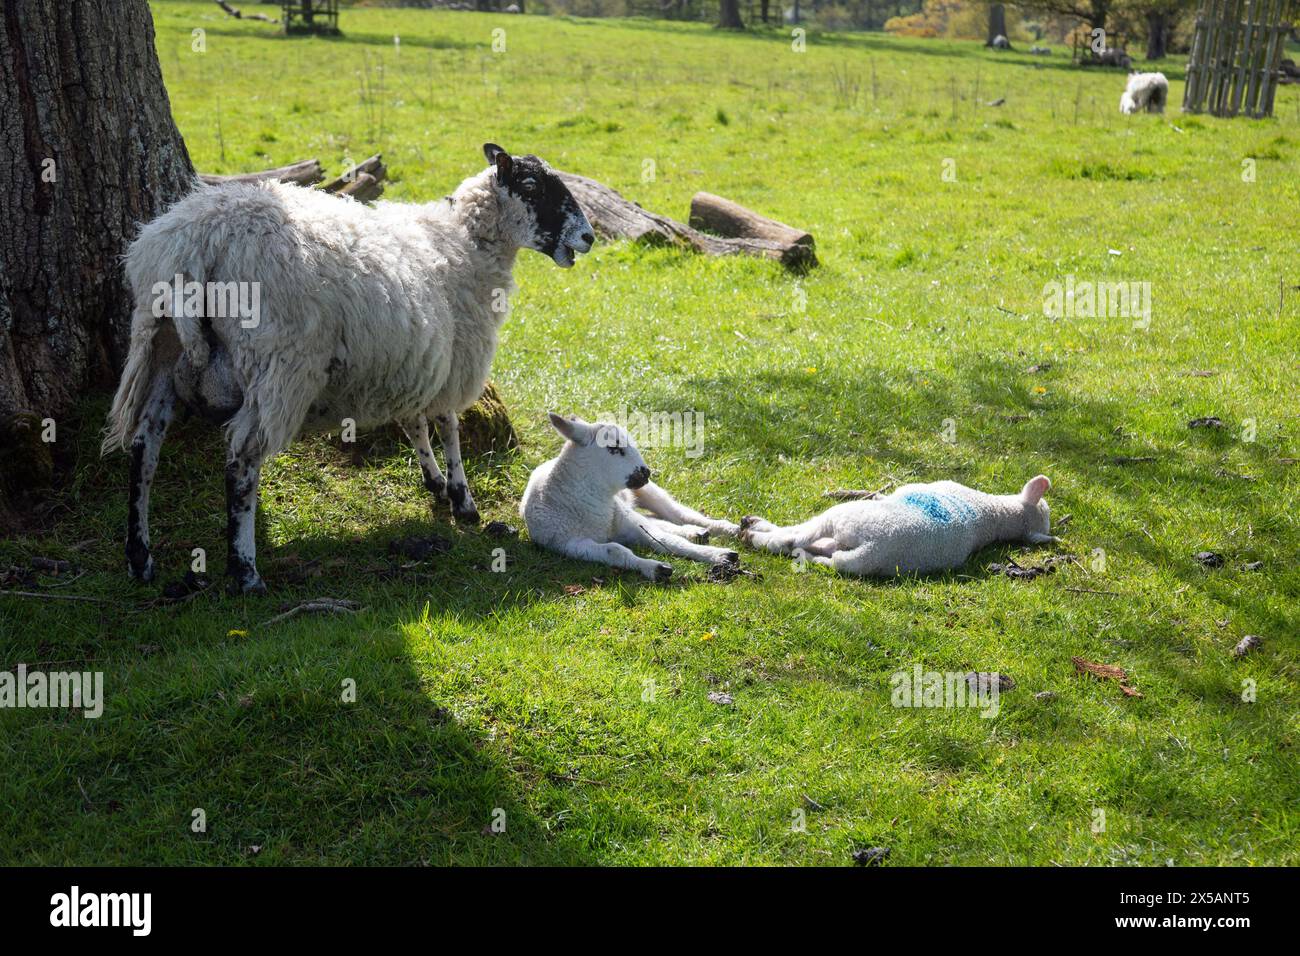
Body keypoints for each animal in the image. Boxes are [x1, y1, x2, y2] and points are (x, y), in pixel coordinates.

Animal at [106, 143, 595, 595]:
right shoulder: (454, 360)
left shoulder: (416, 359)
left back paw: (139, 556)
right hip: (279, 365)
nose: (589, 237)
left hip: (156, 350)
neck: (463, 244)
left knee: (144, 447)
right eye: (531, 185)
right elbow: (448, 427)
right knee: (241, 462)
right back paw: (245, 572)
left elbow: (415, 423)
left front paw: (434, 482)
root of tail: (194, 242)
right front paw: (462, 500)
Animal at [520, 413, 743, 582]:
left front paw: (719, 555)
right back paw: (696, 533)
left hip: (646, 494)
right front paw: (655, 568)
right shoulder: (569, 545)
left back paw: (726, 529)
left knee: (678, 515)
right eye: (614, 448)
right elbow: (616, 550)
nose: (646, 472)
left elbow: (665, 540)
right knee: (659, 520)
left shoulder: (627, 520)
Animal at [743, 476, 1055, 574]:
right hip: (845, 555)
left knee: (793, 539)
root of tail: (873, 549)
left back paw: (754, 532)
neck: (996, 515)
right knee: (814, 553)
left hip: (842, 517)